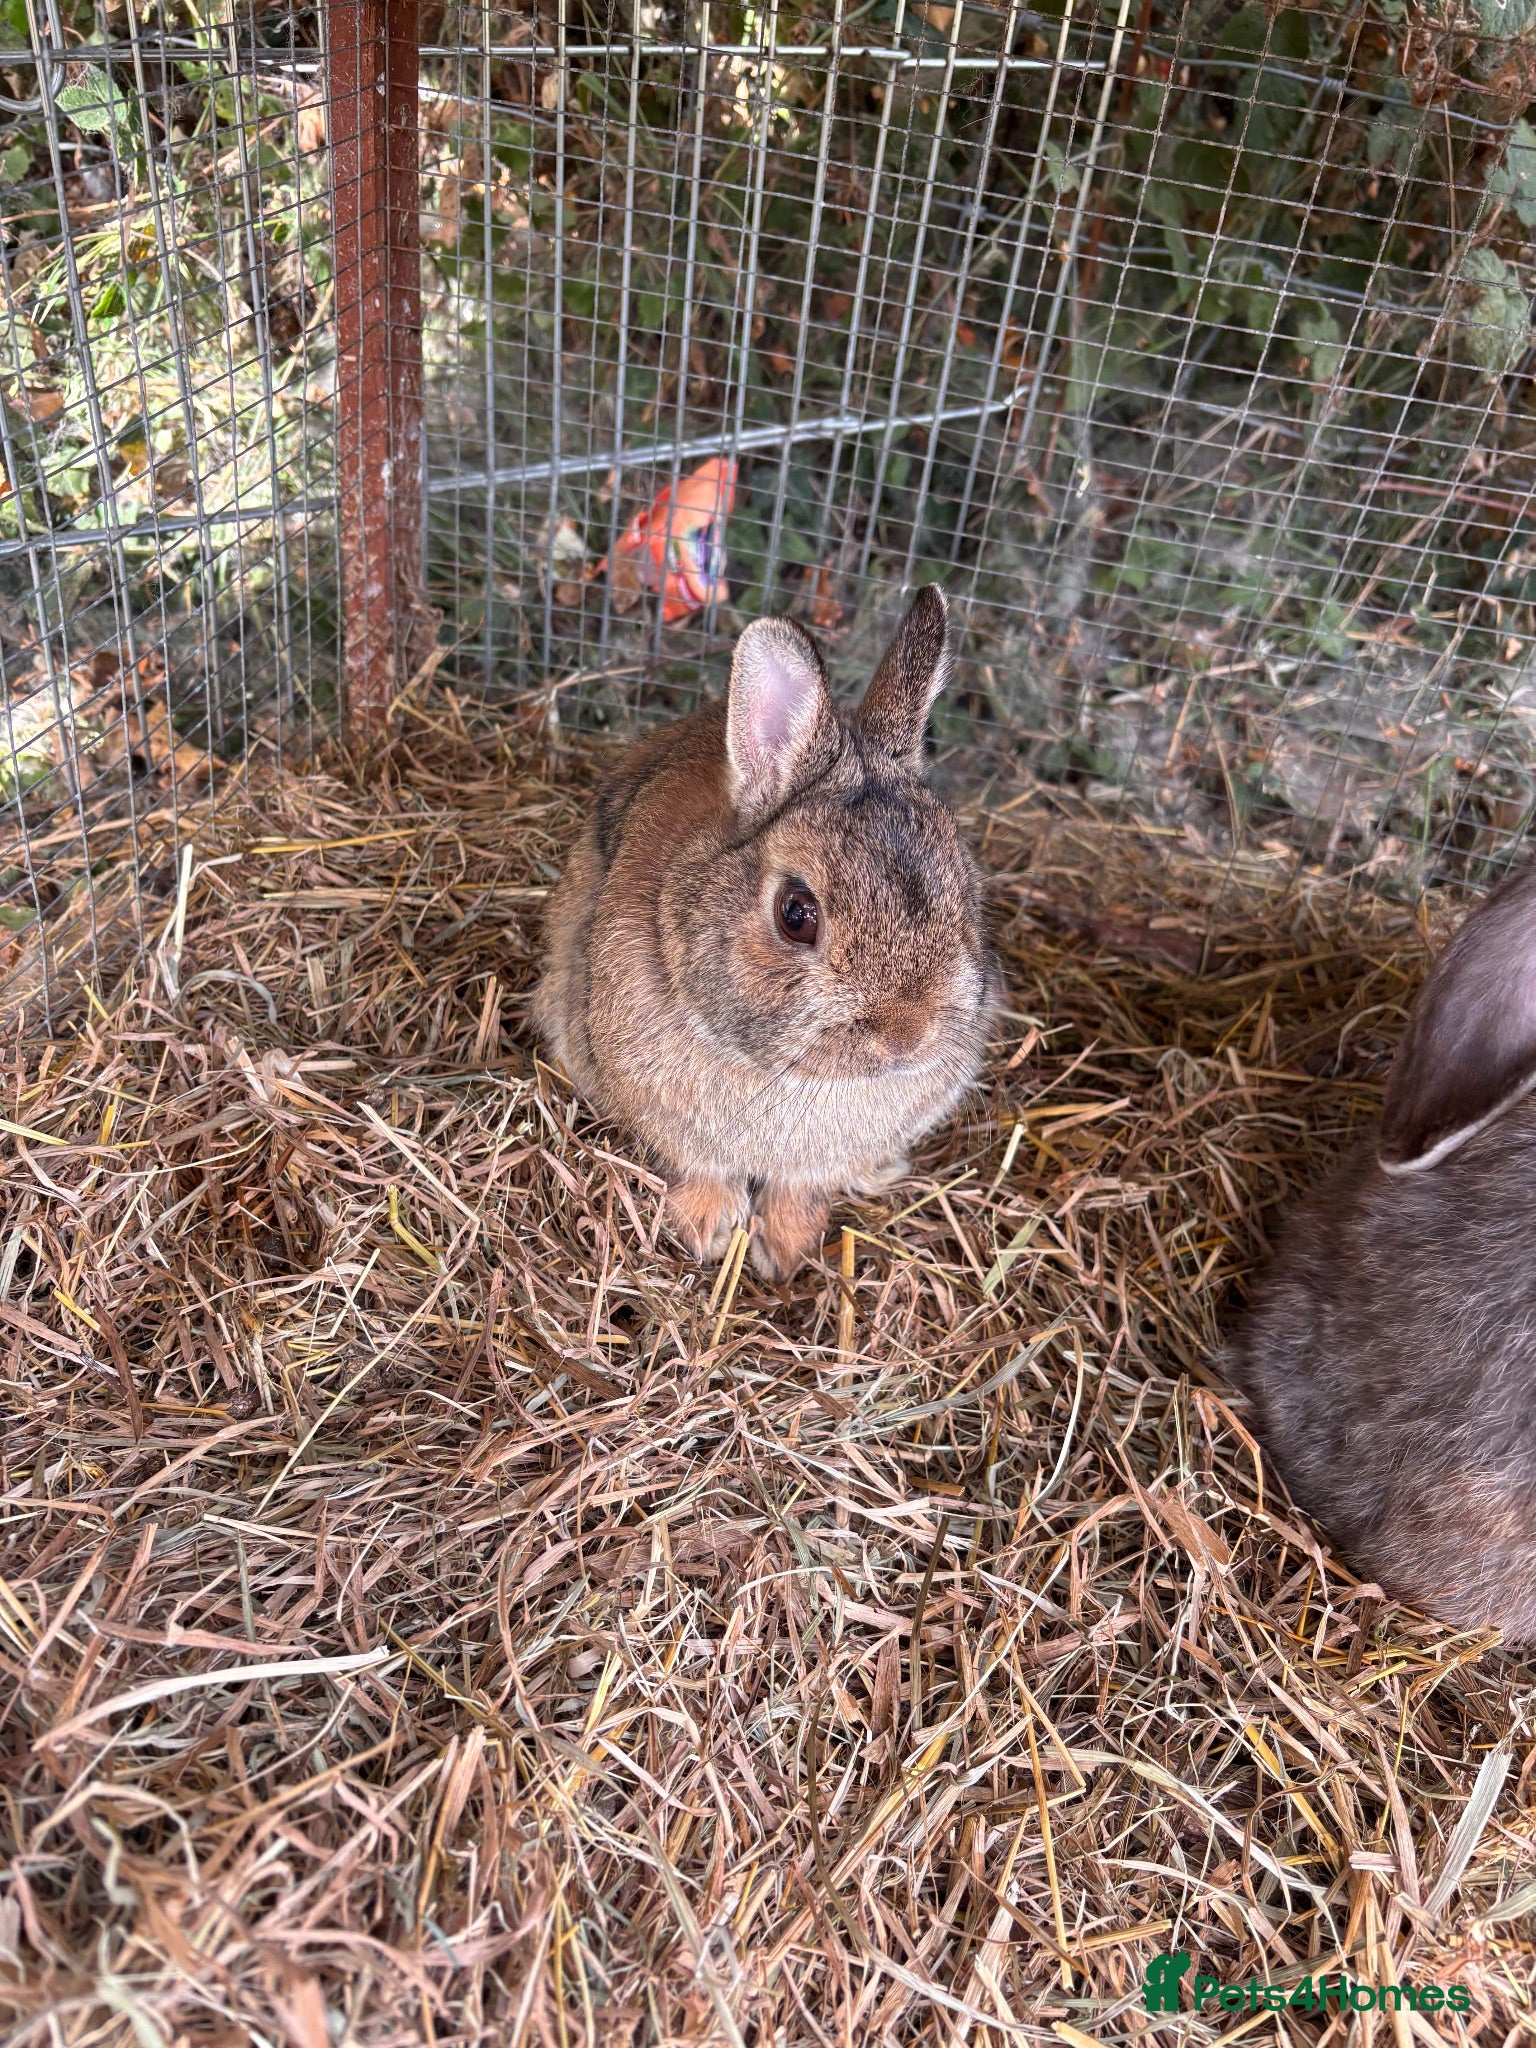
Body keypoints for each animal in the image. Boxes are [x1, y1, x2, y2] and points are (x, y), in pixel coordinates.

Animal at [533, 585, 997, 1281]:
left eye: (961, 884)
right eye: (795, 914)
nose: (906, 1037)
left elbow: (800, 1187)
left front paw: (785, 1250)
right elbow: (699, 1166)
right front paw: (704, 1231)